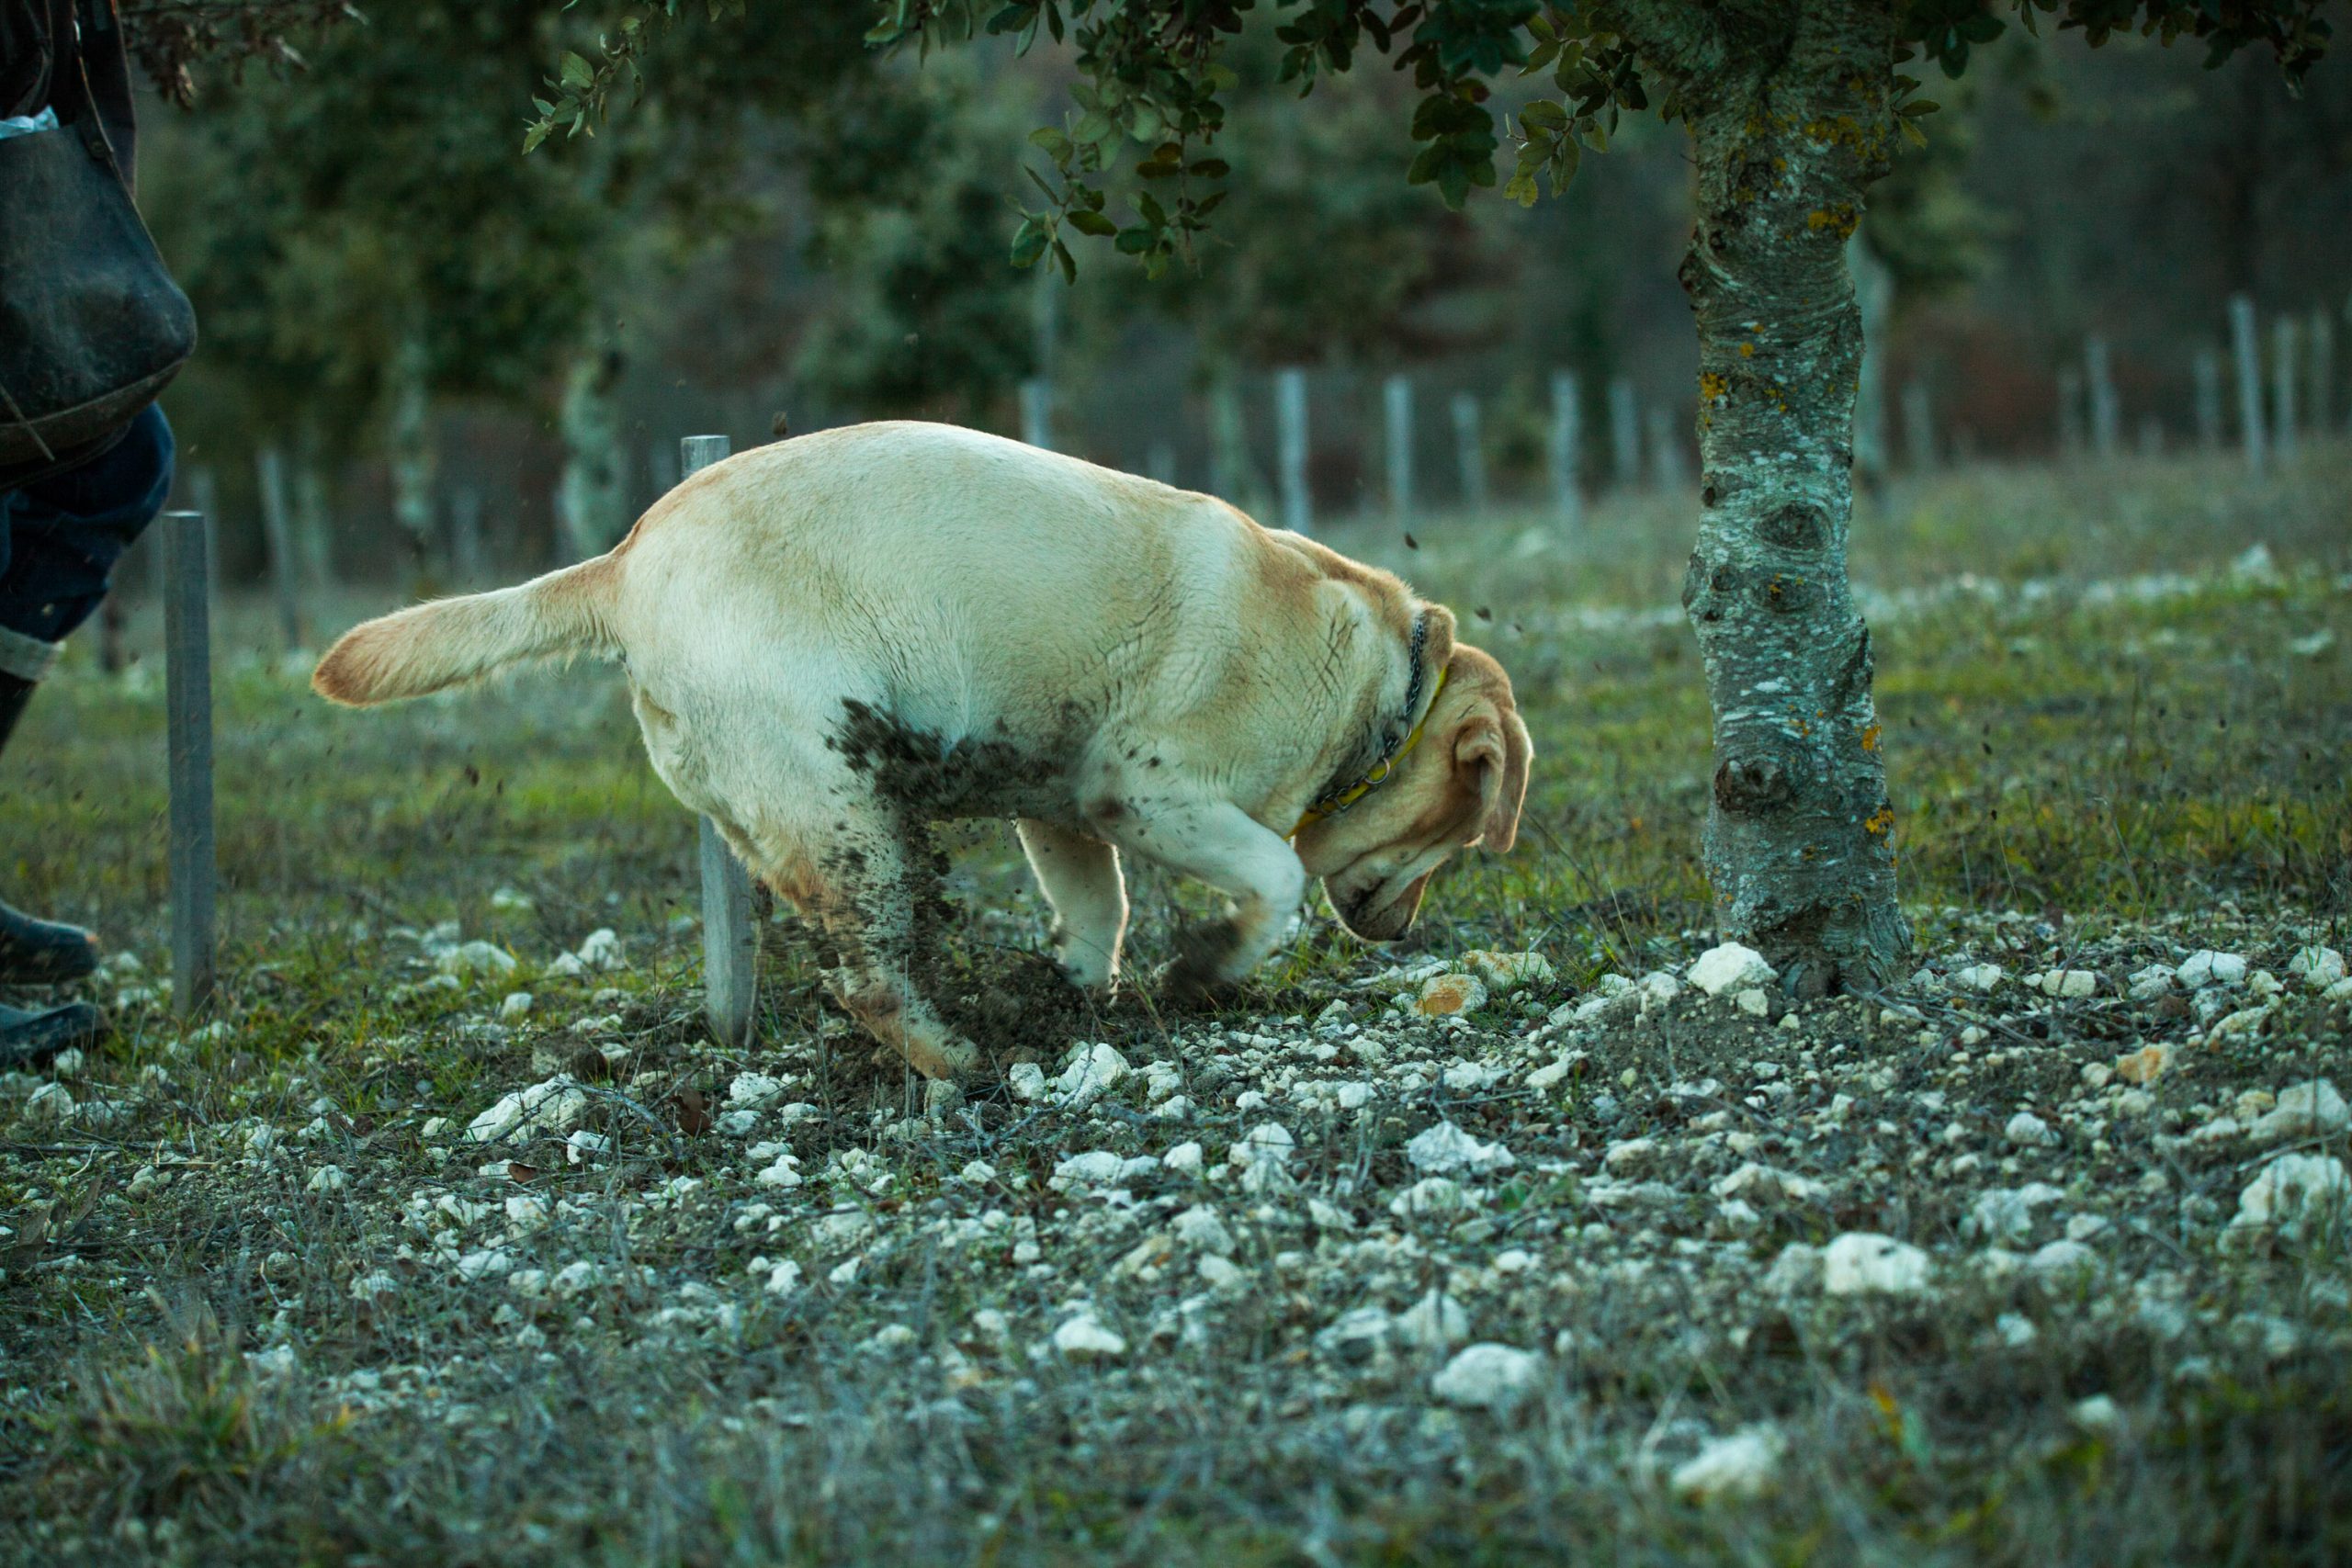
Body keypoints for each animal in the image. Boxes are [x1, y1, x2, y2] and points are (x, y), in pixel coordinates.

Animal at [312, 421, 1533, 1081]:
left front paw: (1077, 996)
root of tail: (624, 560)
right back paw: (962, 1063)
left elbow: (1098, 916)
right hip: (846, 810)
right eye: (1463, 829)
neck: (1379, 688)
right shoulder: (1149, 789)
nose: (1403, 935)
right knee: (867, 980)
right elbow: (1271, 879)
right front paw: (1209, 967)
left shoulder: (1062, 811)